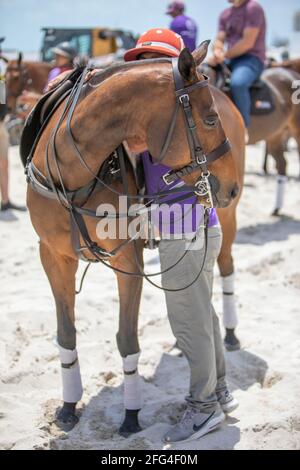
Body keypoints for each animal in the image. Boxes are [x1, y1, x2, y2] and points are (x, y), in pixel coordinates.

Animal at [24, 42, 244, 436]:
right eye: (209, 120)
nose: (230, 184)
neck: (71, 175)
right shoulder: (52, 256)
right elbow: (66, 334)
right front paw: (68, 406)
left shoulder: (128, 262)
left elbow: (127, 340)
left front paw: (130, 414)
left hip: (228, 218)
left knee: (225, 269)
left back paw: (230, 338)